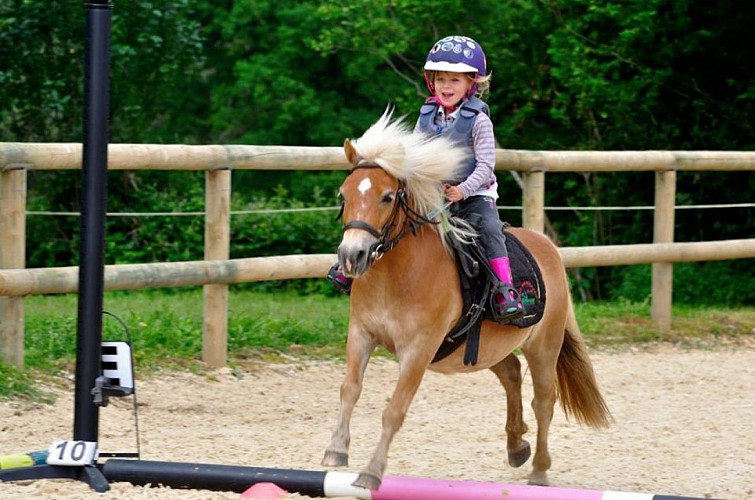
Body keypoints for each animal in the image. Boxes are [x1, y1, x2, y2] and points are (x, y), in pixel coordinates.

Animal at [322, 108, 612, 488]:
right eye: (343, 195)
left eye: (387, 197)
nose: (351, 255)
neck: (397, 276)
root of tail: (549, 249)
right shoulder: (361, 334)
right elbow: (349, 389)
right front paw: (335, 450)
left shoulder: (418, 350)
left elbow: (394, 410)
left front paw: (370, 472)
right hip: (486, 348)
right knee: (511, 373)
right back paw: (517, 446)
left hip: (543, 345)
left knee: (544, 400)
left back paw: (539, 469)